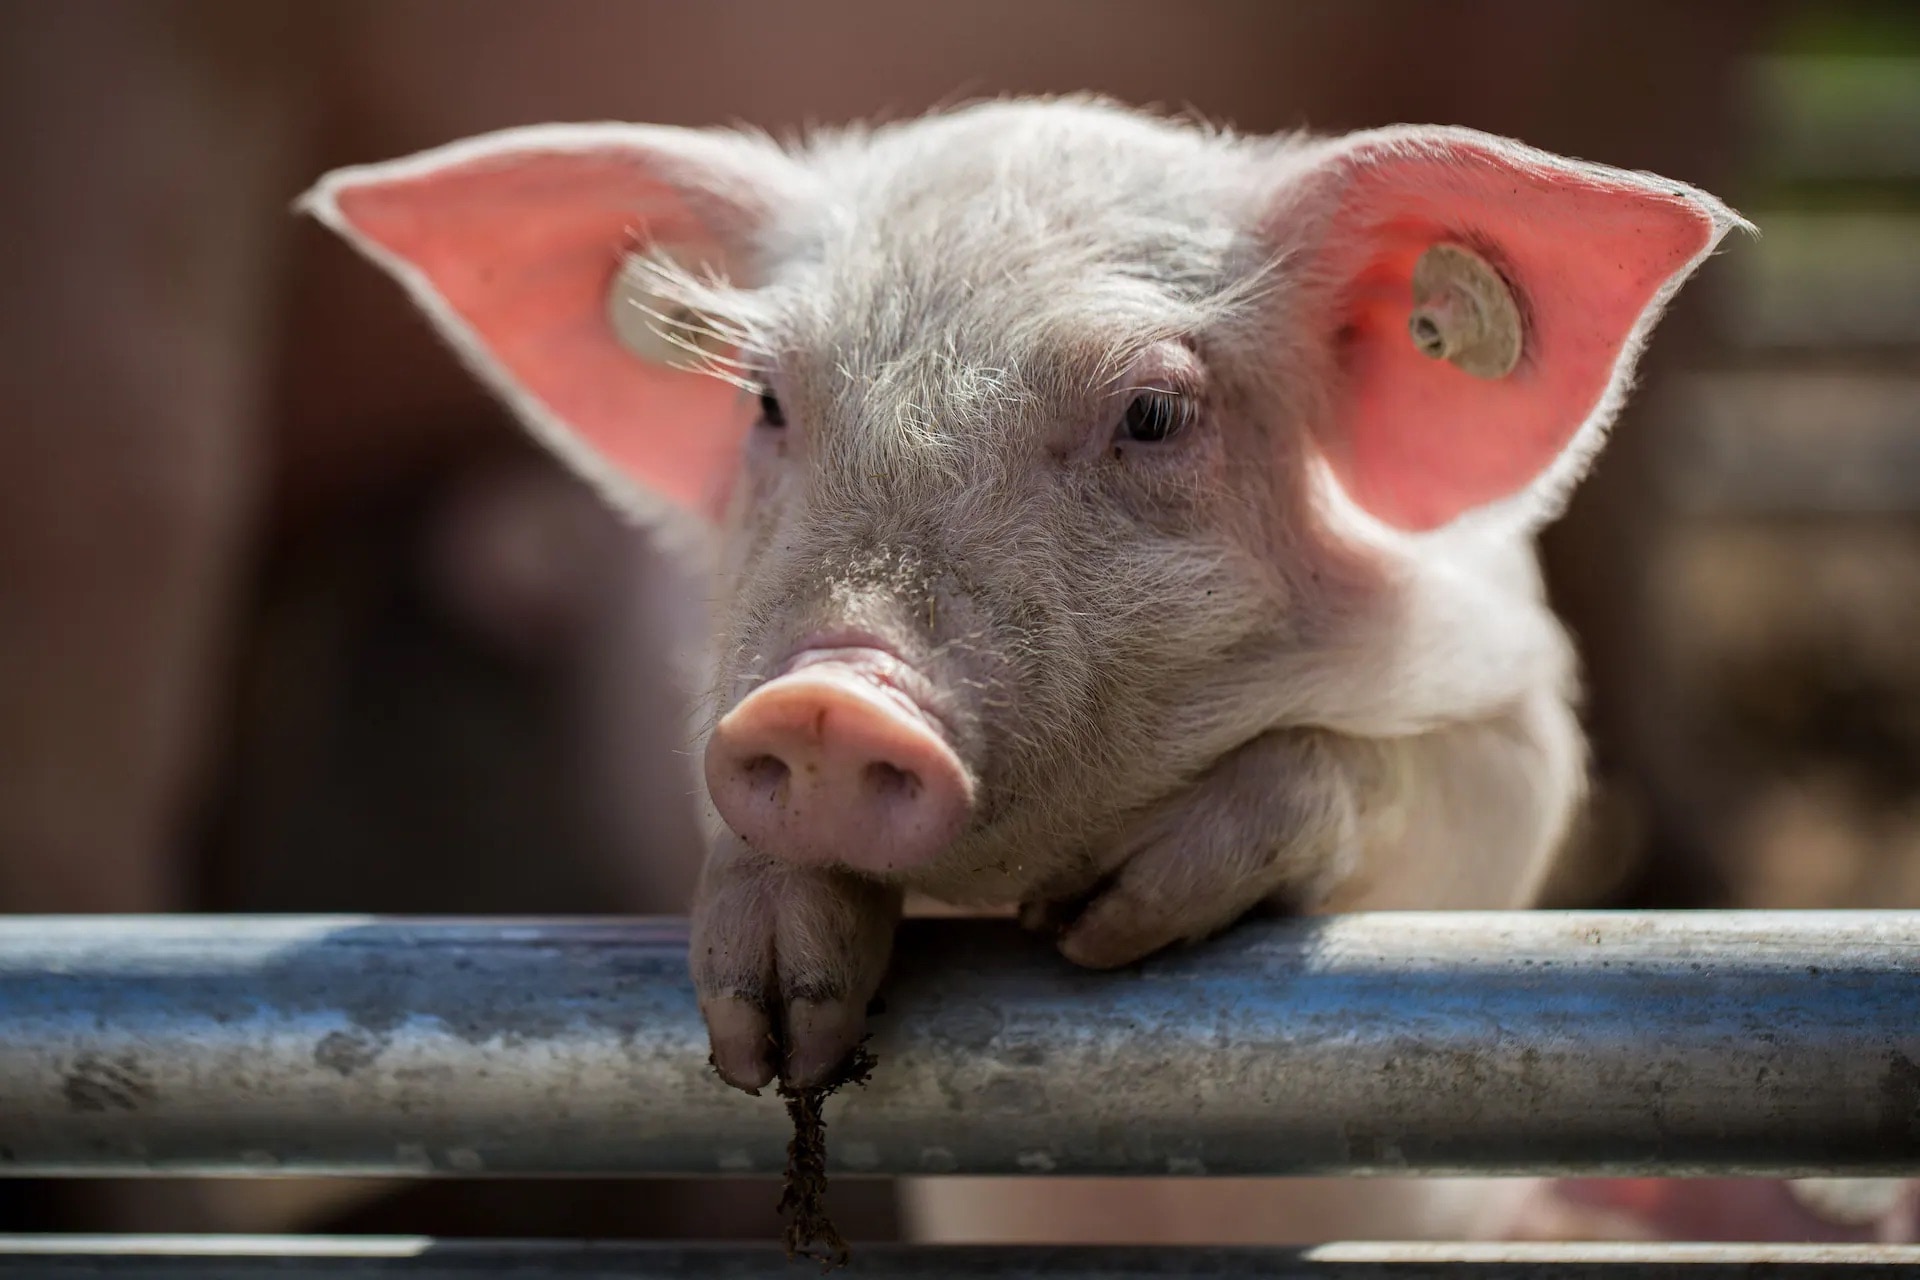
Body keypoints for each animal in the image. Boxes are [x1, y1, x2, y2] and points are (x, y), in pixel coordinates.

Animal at [301, 96, 1752, 1238]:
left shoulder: (1518, 719)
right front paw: (769, 1029)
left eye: (1156, 413)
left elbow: (1434, 801)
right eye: (766, 402)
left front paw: (1102, 916)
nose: (830, 697)